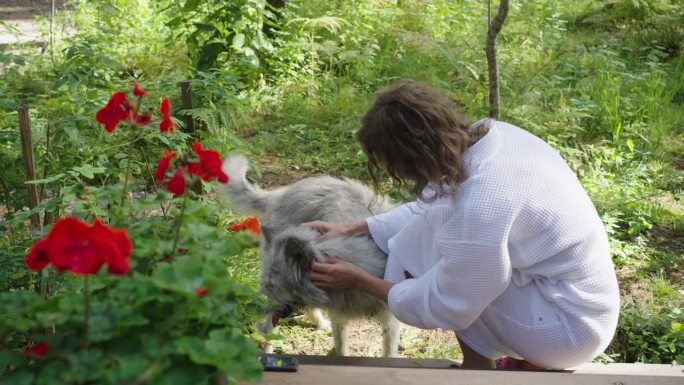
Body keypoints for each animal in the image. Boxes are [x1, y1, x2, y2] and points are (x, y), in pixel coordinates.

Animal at [219, 154, 400, 356]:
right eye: (268, 285)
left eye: (273, 286)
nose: (249, 309)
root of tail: (279, 195)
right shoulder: (339, 320)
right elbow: (342, 350)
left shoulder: (390, 324)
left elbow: (389, 352)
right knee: (268, 329)